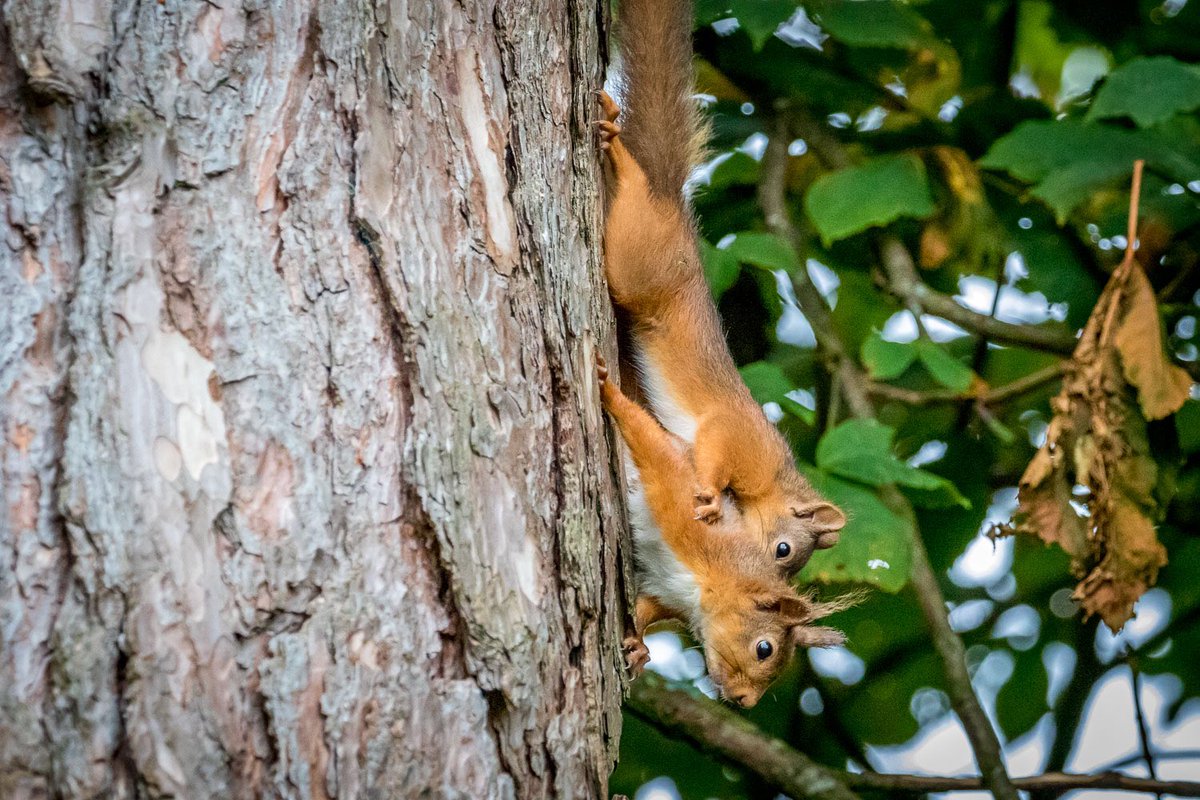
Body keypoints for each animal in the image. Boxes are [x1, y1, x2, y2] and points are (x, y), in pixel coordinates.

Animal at [595, 357, 840, 705]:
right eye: (764, 648)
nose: (747, 701)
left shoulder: (665, 592)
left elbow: (641, 611)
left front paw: (639, 648)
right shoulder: (682, 503)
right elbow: (650, 443)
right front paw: (609, 393)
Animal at [600, 0, 844, 578]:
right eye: (784, 550)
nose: (753, 579)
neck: (775, 476)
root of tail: (672, 205)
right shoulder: (738, 436)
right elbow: (712, 450)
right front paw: (709, 495)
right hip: (640, 259)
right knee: (636, 195)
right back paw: (622, 157)